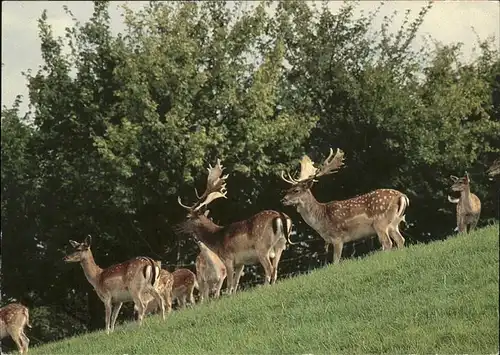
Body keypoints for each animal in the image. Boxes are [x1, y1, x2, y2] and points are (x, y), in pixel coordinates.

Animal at [179, 159, 296, 294]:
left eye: (188, 217)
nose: (177, 227)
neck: (217, 240)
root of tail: (280, 216)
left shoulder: (228, 258)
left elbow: (230, 283)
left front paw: (227, 295)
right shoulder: (241, 263)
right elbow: (236, 283)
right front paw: (233, 295)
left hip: (262, 247)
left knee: (269, 268)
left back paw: (265, 287)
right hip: (280, 244)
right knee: (276, 268)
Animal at [282, 147, 410, 264]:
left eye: (296, 190)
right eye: (288, 189)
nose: (283, 199)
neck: (321, 220)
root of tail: (402, 196)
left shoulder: (337, 237)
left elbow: (335, 261)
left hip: (380, 222)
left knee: (388, 243)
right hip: (394, 223)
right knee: (401, 240)